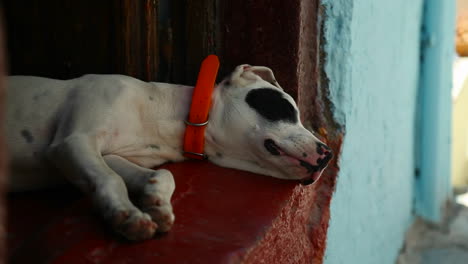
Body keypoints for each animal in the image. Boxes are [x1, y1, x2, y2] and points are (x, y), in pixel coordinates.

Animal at [4, 64, 332, 241]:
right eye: (285, 107)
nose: (328, 155)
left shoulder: (114, 157)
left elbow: (161, 175)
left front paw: (157, 204)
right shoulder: (73, 142)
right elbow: (110, 180)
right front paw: (126, 216)